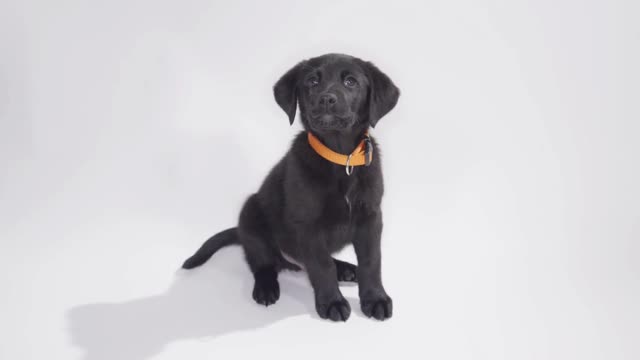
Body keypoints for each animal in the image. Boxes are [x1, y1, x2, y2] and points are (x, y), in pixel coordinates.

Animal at [181, 52, 400, 320]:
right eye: (312, 82)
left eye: (351, 82)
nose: (326, 99)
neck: (341, 159)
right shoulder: (308, 224)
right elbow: (321, 265)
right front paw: (332, 302)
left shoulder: (371, 217)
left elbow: (371, 261)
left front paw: (375, 298)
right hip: (251, 214)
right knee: (262, 262)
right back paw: (266, 287)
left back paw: (346, 269)